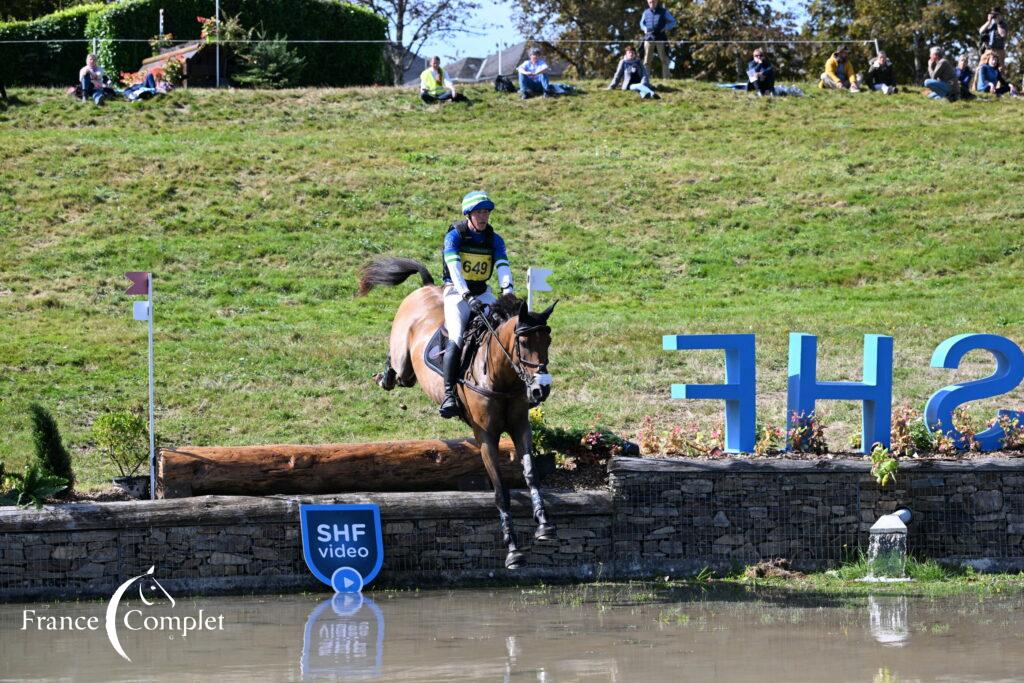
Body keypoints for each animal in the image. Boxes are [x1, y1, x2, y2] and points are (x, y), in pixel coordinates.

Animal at [356, 255, 557, 573]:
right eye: (524, 343)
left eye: (547, 342)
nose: (541, 390)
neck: (501, 376)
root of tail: (427, 287)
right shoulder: (486, 437)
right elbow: (501, 492)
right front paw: (513, 550)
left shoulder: (521, 427)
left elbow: (531, 474)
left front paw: (544, 524)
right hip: (404, 362)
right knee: (396, 369)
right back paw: (384, 375)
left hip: (412, 376)